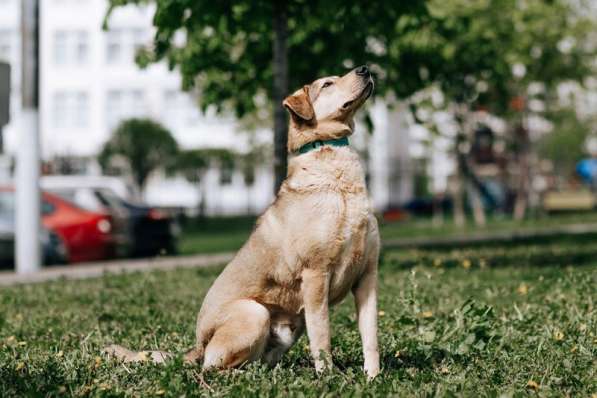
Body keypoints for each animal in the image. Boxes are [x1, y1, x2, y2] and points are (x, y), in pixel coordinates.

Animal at [104, 65, 380, 380]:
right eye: (327, 84)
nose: (366, 68)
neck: (339, 184)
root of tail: (197, 346)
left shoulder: (367, 276)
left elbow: (370, 335)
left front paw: (373, 377)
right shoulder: (315, 275)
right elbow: (322, 338)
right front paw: (328, 379)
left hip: (288, 329)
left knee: (255, 361)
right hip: (254, 313)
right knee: (212, 367)